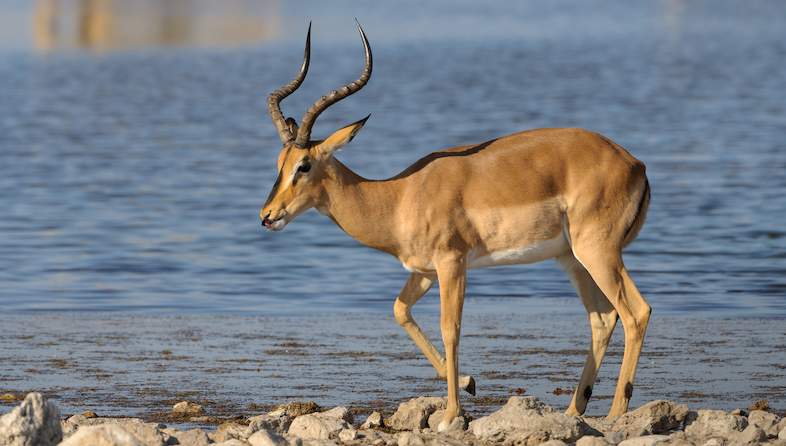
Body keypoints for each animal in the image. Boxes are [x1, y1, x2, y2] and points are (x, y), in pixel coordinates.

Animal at [259, 22, 651, 430]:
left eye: (303, 165)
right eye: (279, 163)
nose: (267, 215)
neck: (400, 195)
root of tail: (634, 164)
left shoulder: (452, 263)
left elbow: (451, 330)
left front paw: (451, 415)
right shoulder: (424, 271)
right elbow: (399, 310)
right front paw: (468, 382)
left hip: (598, 252)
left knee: (636, 313)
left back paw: (617, 412)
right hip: (572, 259)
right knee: (603, 319)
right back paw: (575, 410)